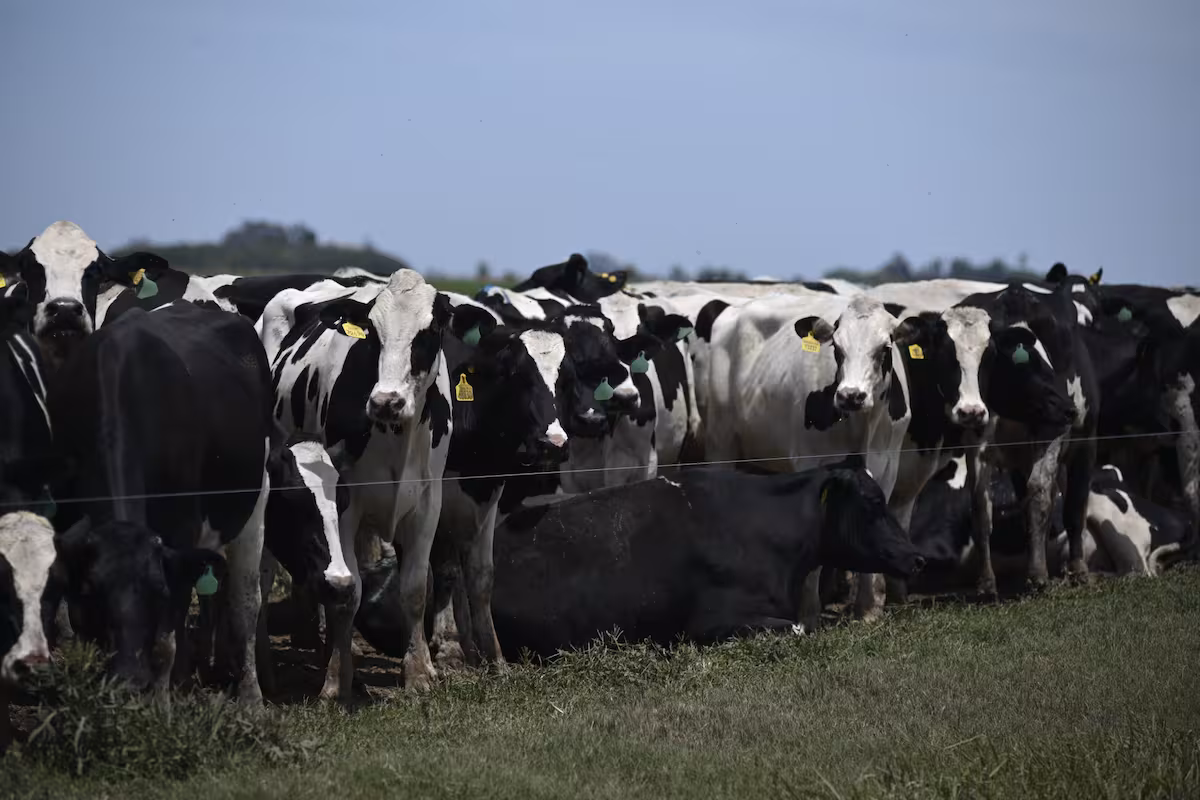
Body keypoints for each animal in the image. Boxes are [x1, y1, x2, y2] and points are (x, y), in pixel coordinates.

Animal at [47, 302, 271, 702]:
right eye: (93, 590)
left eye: (157, 592)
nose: (130, 679)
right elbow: (84, 629)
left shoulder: (180, 533)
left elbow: (164, 643)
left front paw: (160, 707)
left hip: (254, 503)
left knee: (245, 603)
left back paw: (250, 699)